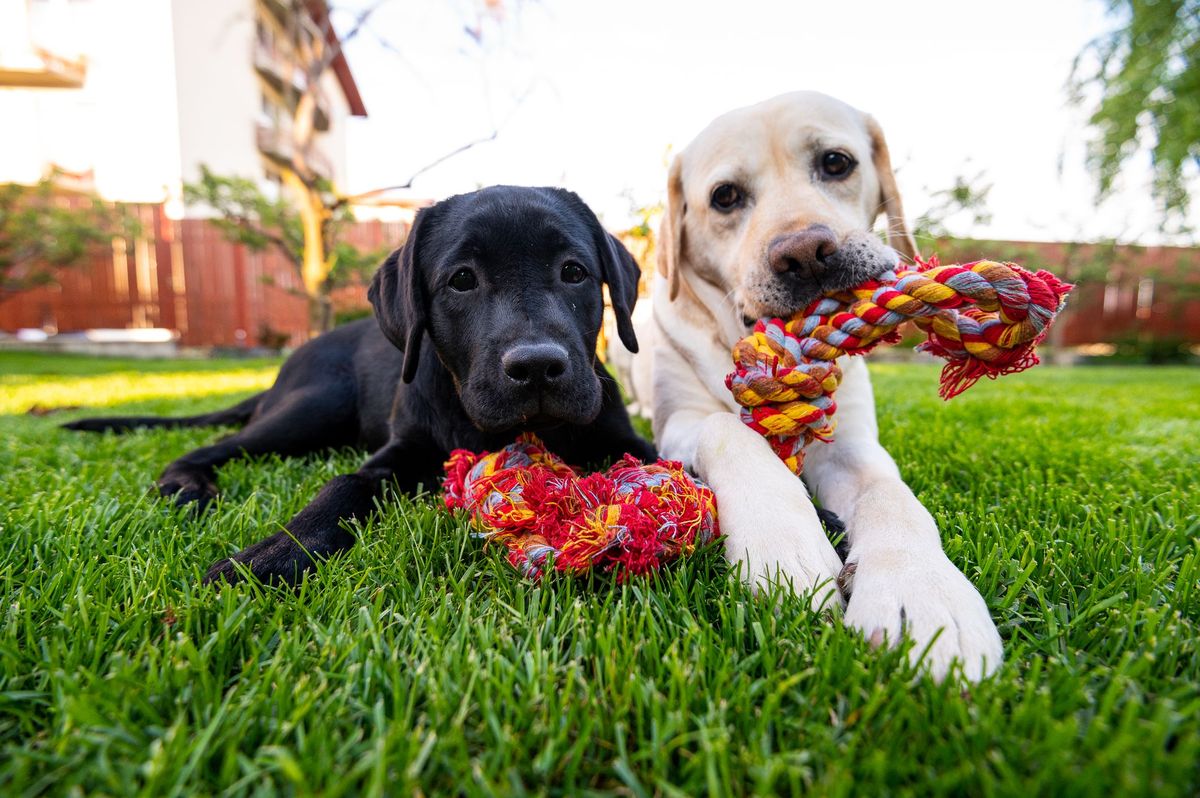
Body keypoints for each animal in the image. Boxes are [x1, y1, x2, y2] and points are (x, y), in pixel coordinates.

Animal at [65, 187, 657, 585]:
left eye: (574, 272)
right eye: (462, 279)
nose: (536, 366)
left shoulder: (624, 437)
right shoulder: (400, 450)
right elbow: (344, 484)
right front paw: (273, 554)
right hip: (315, 406)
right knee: (216, 445)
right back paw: (186, 485)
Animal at [638, 91, 1003, 676]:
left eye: (836, 162)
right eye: (725, 197)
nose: (805, 254)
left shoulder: (850, 442)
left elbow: (891, 495)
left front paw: (924, 593)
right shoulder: (678, 422)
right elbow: (727, 428)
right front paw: (784, 550)